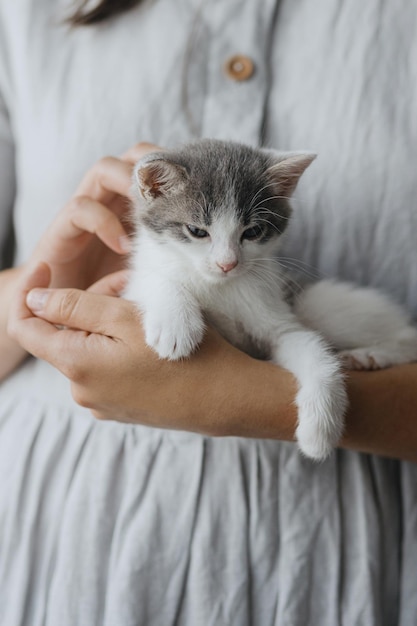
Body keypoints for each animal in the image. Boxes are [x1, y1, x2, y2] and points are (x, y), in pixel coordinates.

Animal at [125, 138, 416, 458]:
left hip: (317, 304)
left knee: (408, 334)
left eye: (253, 231)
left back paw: (371, 355)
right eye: (197, 231)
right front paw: (175, 325)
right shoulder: (140, 275)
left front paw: (320, 429)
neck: (222, 286)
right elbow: (154, 279)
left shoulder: (278, 319)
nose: (227, 264)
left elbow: (312, 348)